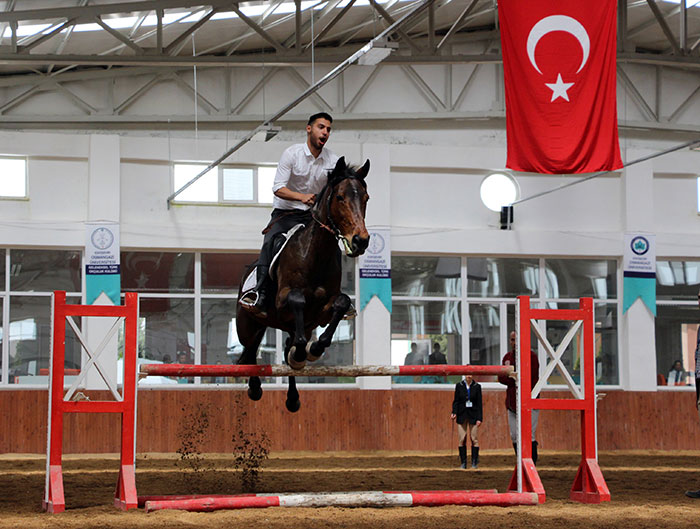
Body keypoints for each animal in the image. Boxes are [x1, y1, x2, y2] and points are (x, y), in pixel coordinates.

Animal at [237, 157, 372, 412]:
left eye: (366, 198)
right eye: (340, 197)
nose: (360, 241)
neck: (315, 253)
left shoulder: (320, 313)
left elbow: (341, 302)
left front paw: (314, 349)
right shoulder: (282, 301)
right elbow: (297, 299)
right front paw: (302, 352)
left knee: (284, 348)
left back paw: (292, 397)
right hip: (248, 325)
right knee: (249, 351)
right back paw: (255, 388)